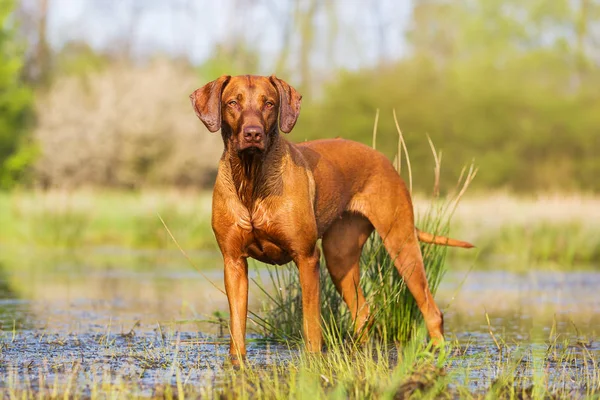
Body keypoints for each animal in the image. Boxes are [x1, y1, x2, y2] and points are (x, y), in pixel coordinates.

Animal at [190, 75, 472, 362]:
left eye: (269, 103)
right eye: (232, 103)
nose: (253, 133)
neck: (251, 180)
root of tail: (383, 158)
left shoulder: (307, 258)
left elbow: (311, 324)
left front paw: (313, 361)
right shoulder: (233, 262)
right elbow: (237, 328)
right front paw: (237, 364)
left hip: (402, 245)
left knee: (431, 311)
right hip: (339, 257)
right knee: (363, 313)